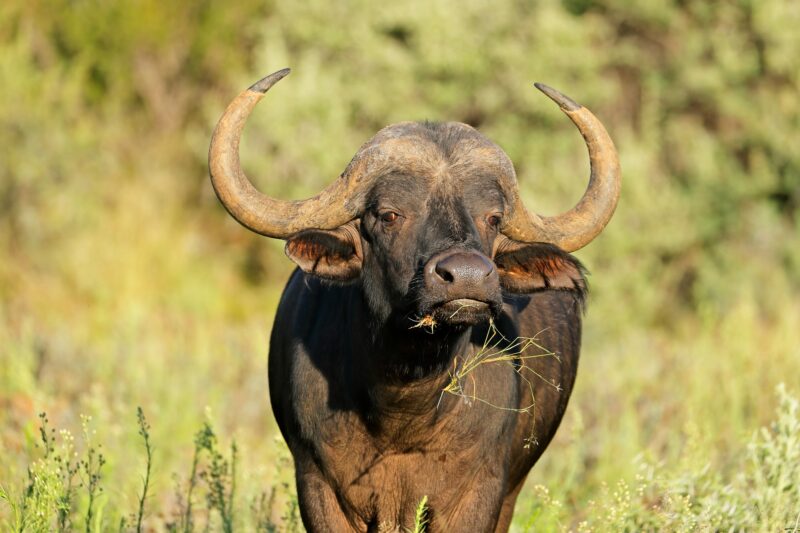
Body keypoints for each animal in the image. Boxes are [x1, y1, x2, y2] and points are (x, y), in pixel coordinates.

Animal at [206, 68, 620, 528]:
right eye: (389, 214)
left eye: (493, 218)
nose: (467, 276)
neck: (404, 409)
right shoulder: (317, 486)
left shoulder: (479, 494)